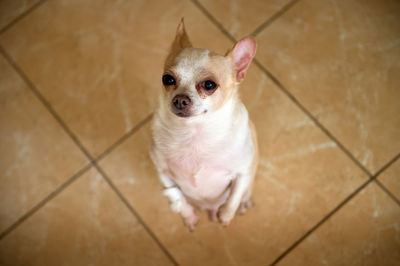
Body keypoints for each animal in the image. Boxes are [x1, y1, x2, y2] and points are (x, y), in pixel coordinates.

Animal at [150, 19, 260, 231]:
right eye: (167, 79)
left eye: (210, 85)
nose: (180, 99)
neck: (195, 132)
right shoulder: (163, 173)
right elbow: (176, 195)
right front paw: (189, 217)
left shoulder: (243, 172)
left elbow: (234, 197)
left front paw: (225, 216)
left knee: (243, 195)